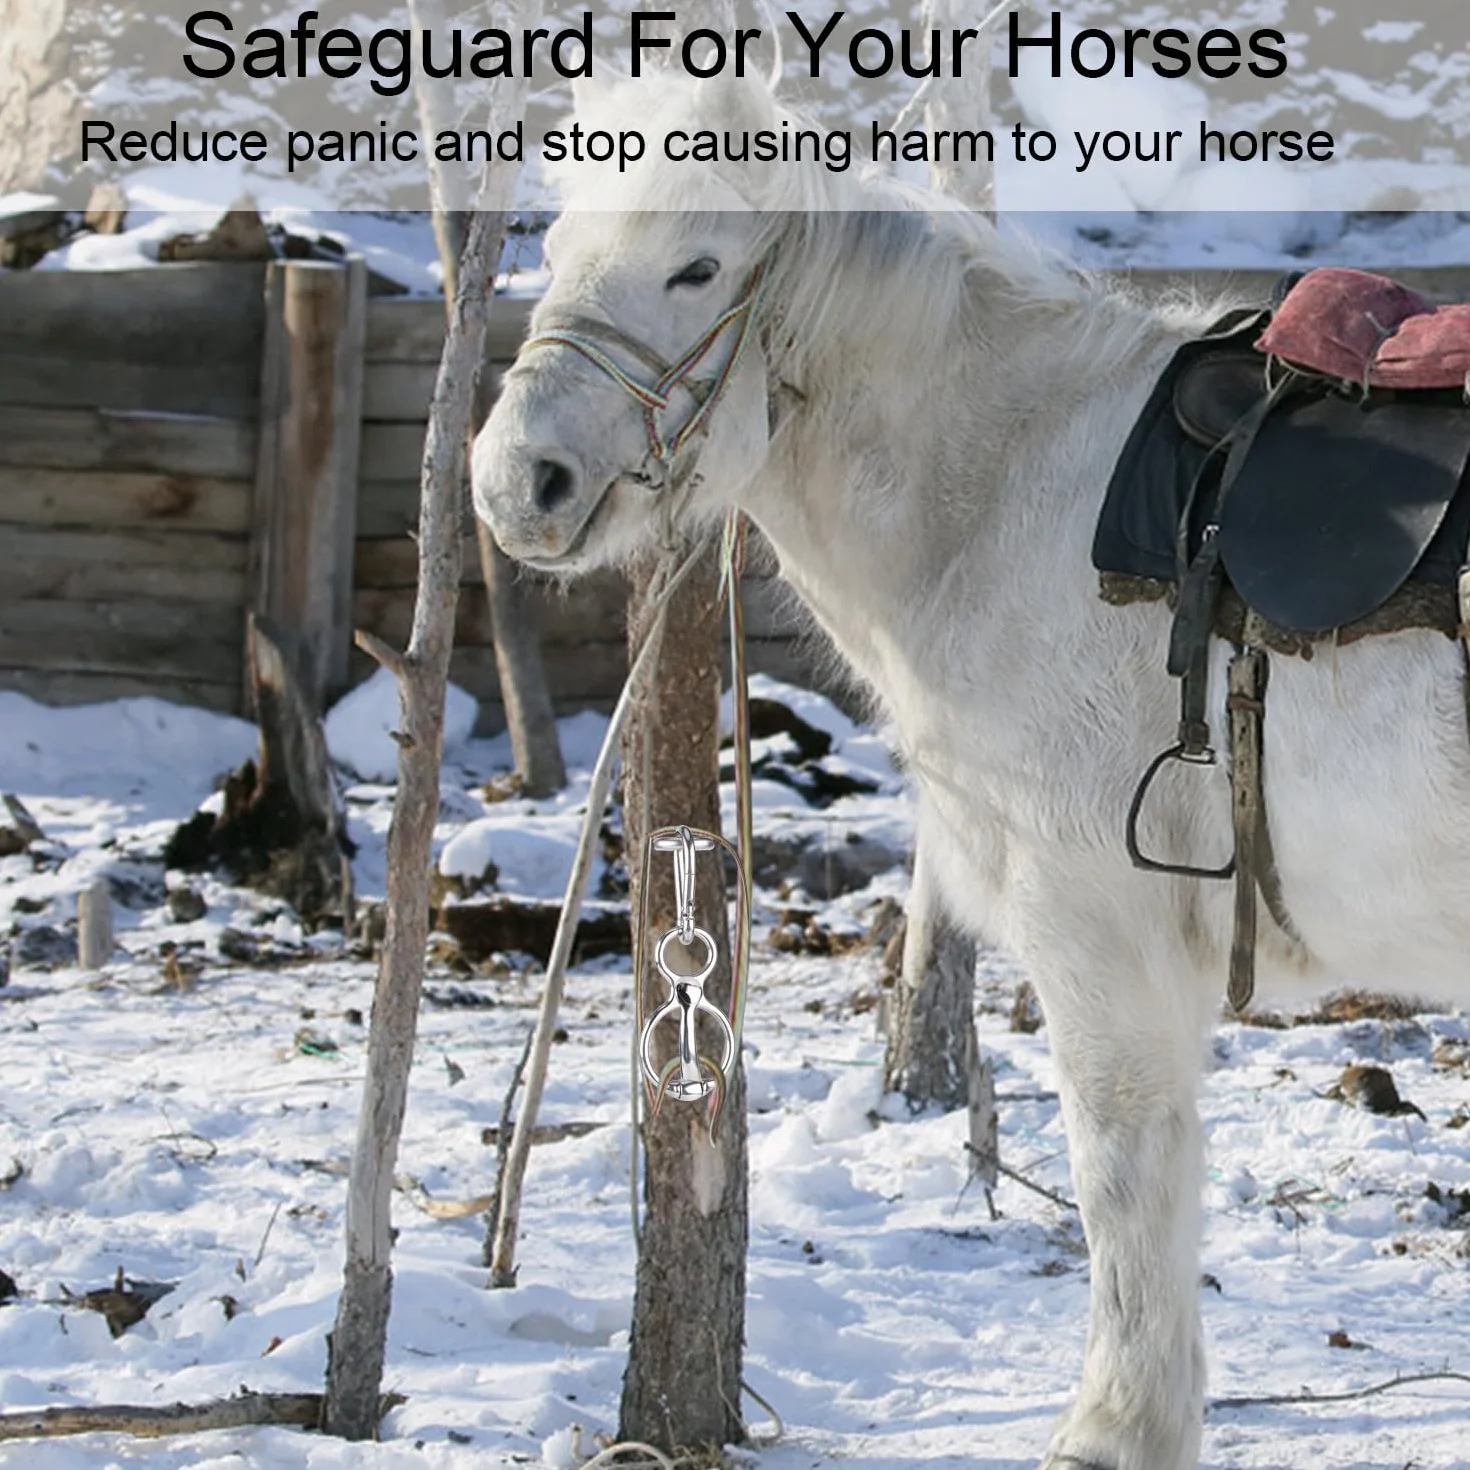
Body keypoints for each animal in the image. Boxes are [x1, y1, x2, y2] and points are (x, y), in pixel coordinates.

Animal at [471, 70, 1470, 1470]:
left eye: (696, 265)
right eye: (555, 251)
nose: (520, 484)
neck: (1010, 495)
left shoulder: (1096, 925)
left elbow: (1123, 1174)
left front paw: (1117, 1429)